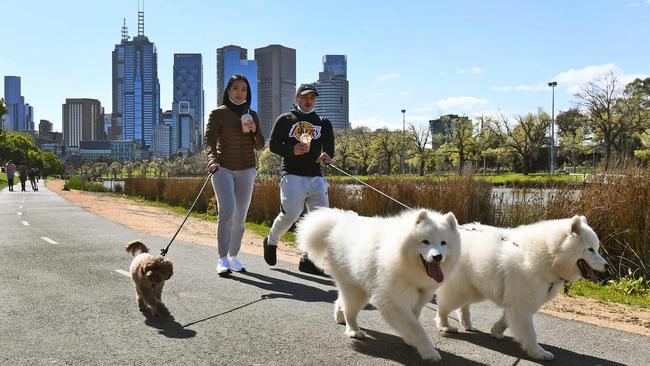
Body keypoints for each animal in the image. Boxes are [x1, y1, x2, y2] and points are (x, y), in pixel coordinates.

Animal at [296, 207, 458, 362]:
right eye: (425, 241)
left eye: (443, 243)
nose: (437, 256)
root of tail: (338, 223)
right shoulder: (393, 302)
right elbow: (416, 327)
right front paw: (429, 351)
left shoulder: (418, 299)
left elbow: (414, 321)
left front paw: (410, 340)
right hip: (357, 291)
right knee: (350, 311)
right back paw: (353, 330)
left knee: (341, 301)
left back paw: (339, 316)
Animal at [432, 214, 604, 360]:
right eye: (591, 250)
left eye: (597, 249)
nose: (607, 265)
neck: (550, 256)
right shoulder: (523, 304)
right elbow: (529, 332)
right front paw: (538, 352)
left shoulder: (517, 302)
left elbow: (506, 320)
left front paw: (496, 331)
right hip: (460, 289)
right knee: (444, 307)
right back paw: (445, 326)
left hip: (474, 288)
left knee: (463, 305)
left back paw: (466, 323)